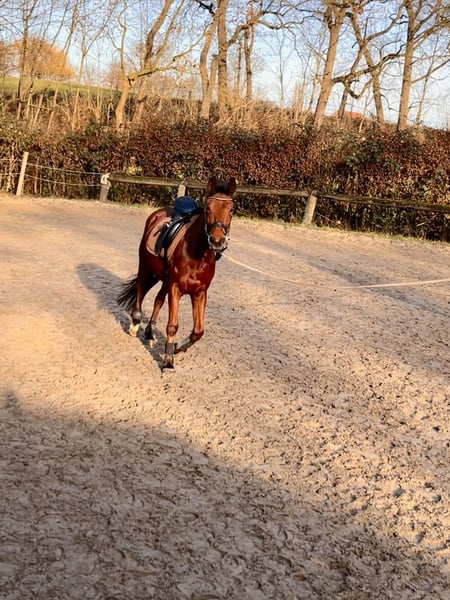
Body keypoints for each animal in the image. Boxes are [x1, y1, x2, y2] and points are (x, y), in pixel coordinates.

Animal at [117, 175, 237, 370]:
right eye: (208, 208)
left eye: (231, 210)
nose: (217, 241)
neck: (197, 255)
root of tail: (158, 213)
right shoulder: (176, 288)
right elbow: (172, 325)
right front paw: (168, 360)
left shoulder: (199, 293)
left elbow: (198, 331)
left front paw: (178, 347)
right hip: (145, 265)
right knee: (140, 289)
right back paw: (135, 324)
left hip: (165, 278)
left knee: (158, 299)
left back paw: (150, 331)